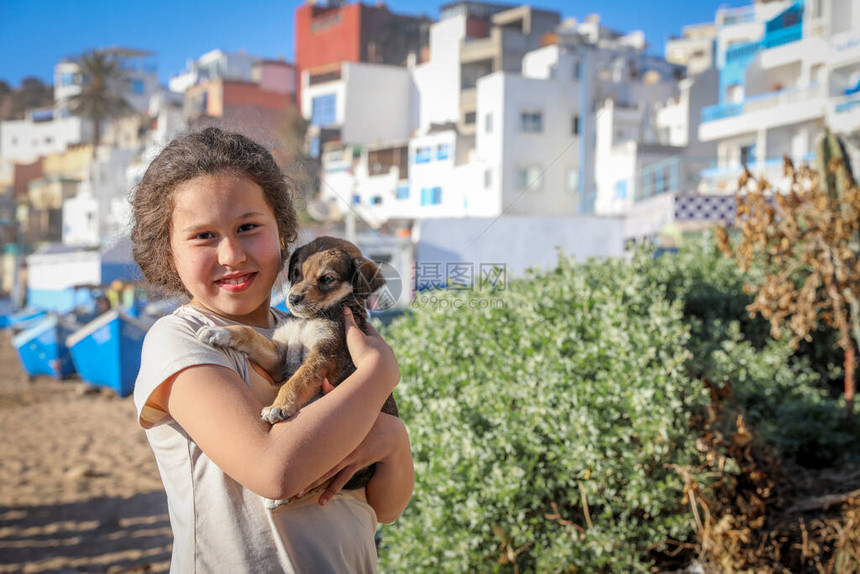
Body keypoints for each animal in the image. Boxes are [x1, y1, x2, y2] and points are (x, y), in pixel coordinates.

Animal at [197, 238, 398, 500]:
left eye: (327, 279)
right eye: (295, 273)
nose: (292, 299)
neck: (308, 320)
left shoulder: (322, 355)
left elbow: (297, 381)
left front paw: (278, 407)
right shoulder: (279, 356)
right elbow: (248, 333)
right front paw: (220, 332)